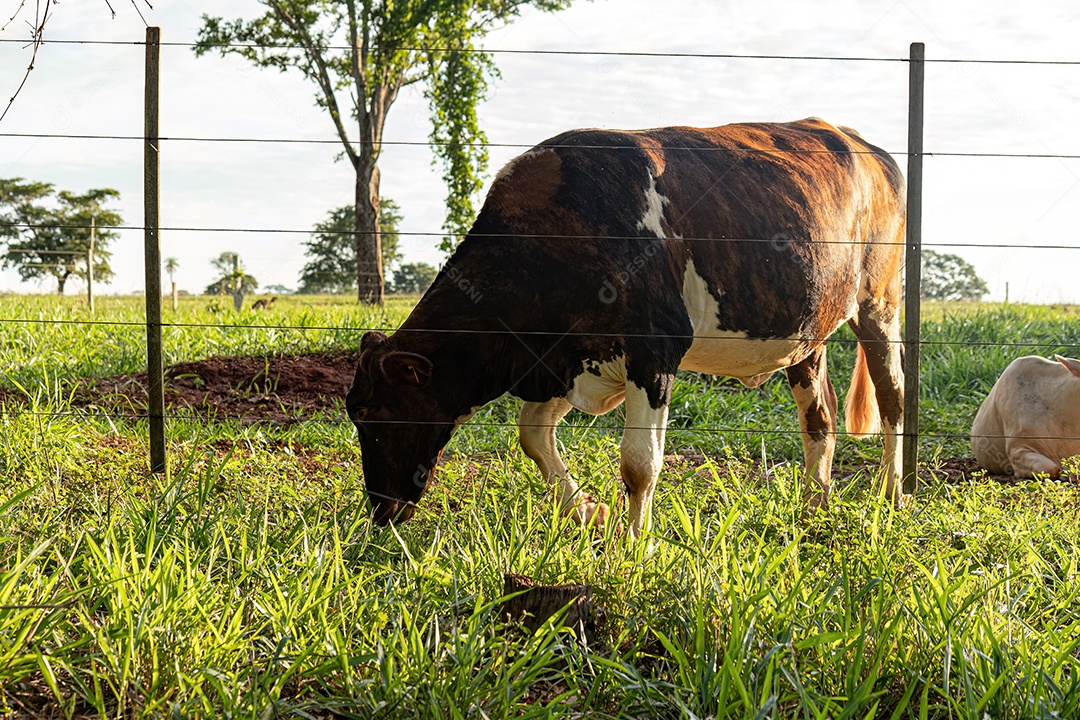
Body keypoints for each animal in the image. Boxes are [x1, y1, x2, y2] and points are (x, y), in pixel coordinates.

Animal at [346, 118, 907, 537]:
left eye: (378, 415)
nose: (381, 511)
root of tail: (863, 144)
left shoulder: (653, 352)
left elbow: (639, 463)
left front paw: (637, 545)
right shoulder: (572, 356)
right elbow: (533, 435)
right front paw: (590, 512)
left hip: (879, 301)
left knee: (893, 395)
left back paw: (891, 494)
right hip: (807, 331)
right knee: (820, 418)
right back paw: (814, 505)